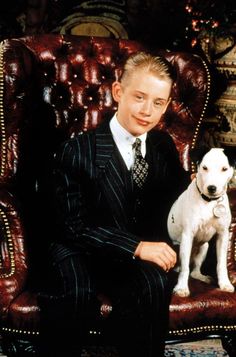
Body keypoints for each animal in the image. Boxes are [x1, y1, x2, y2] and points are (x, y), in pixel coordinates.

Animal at [168, 146, 234, 296]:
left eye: (224, 169)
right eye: (204, 167)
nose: (212, 188)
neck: (209, 203)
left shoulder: (223, 235)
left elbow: (221, 264)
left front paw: (225, 283)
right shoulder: (188, 235)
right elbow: (185, 269)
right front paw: (181, 288)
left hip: (204, 247)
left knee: (194, 271)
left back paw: (202, 277)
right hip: (176, 248)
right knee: (183, 268)